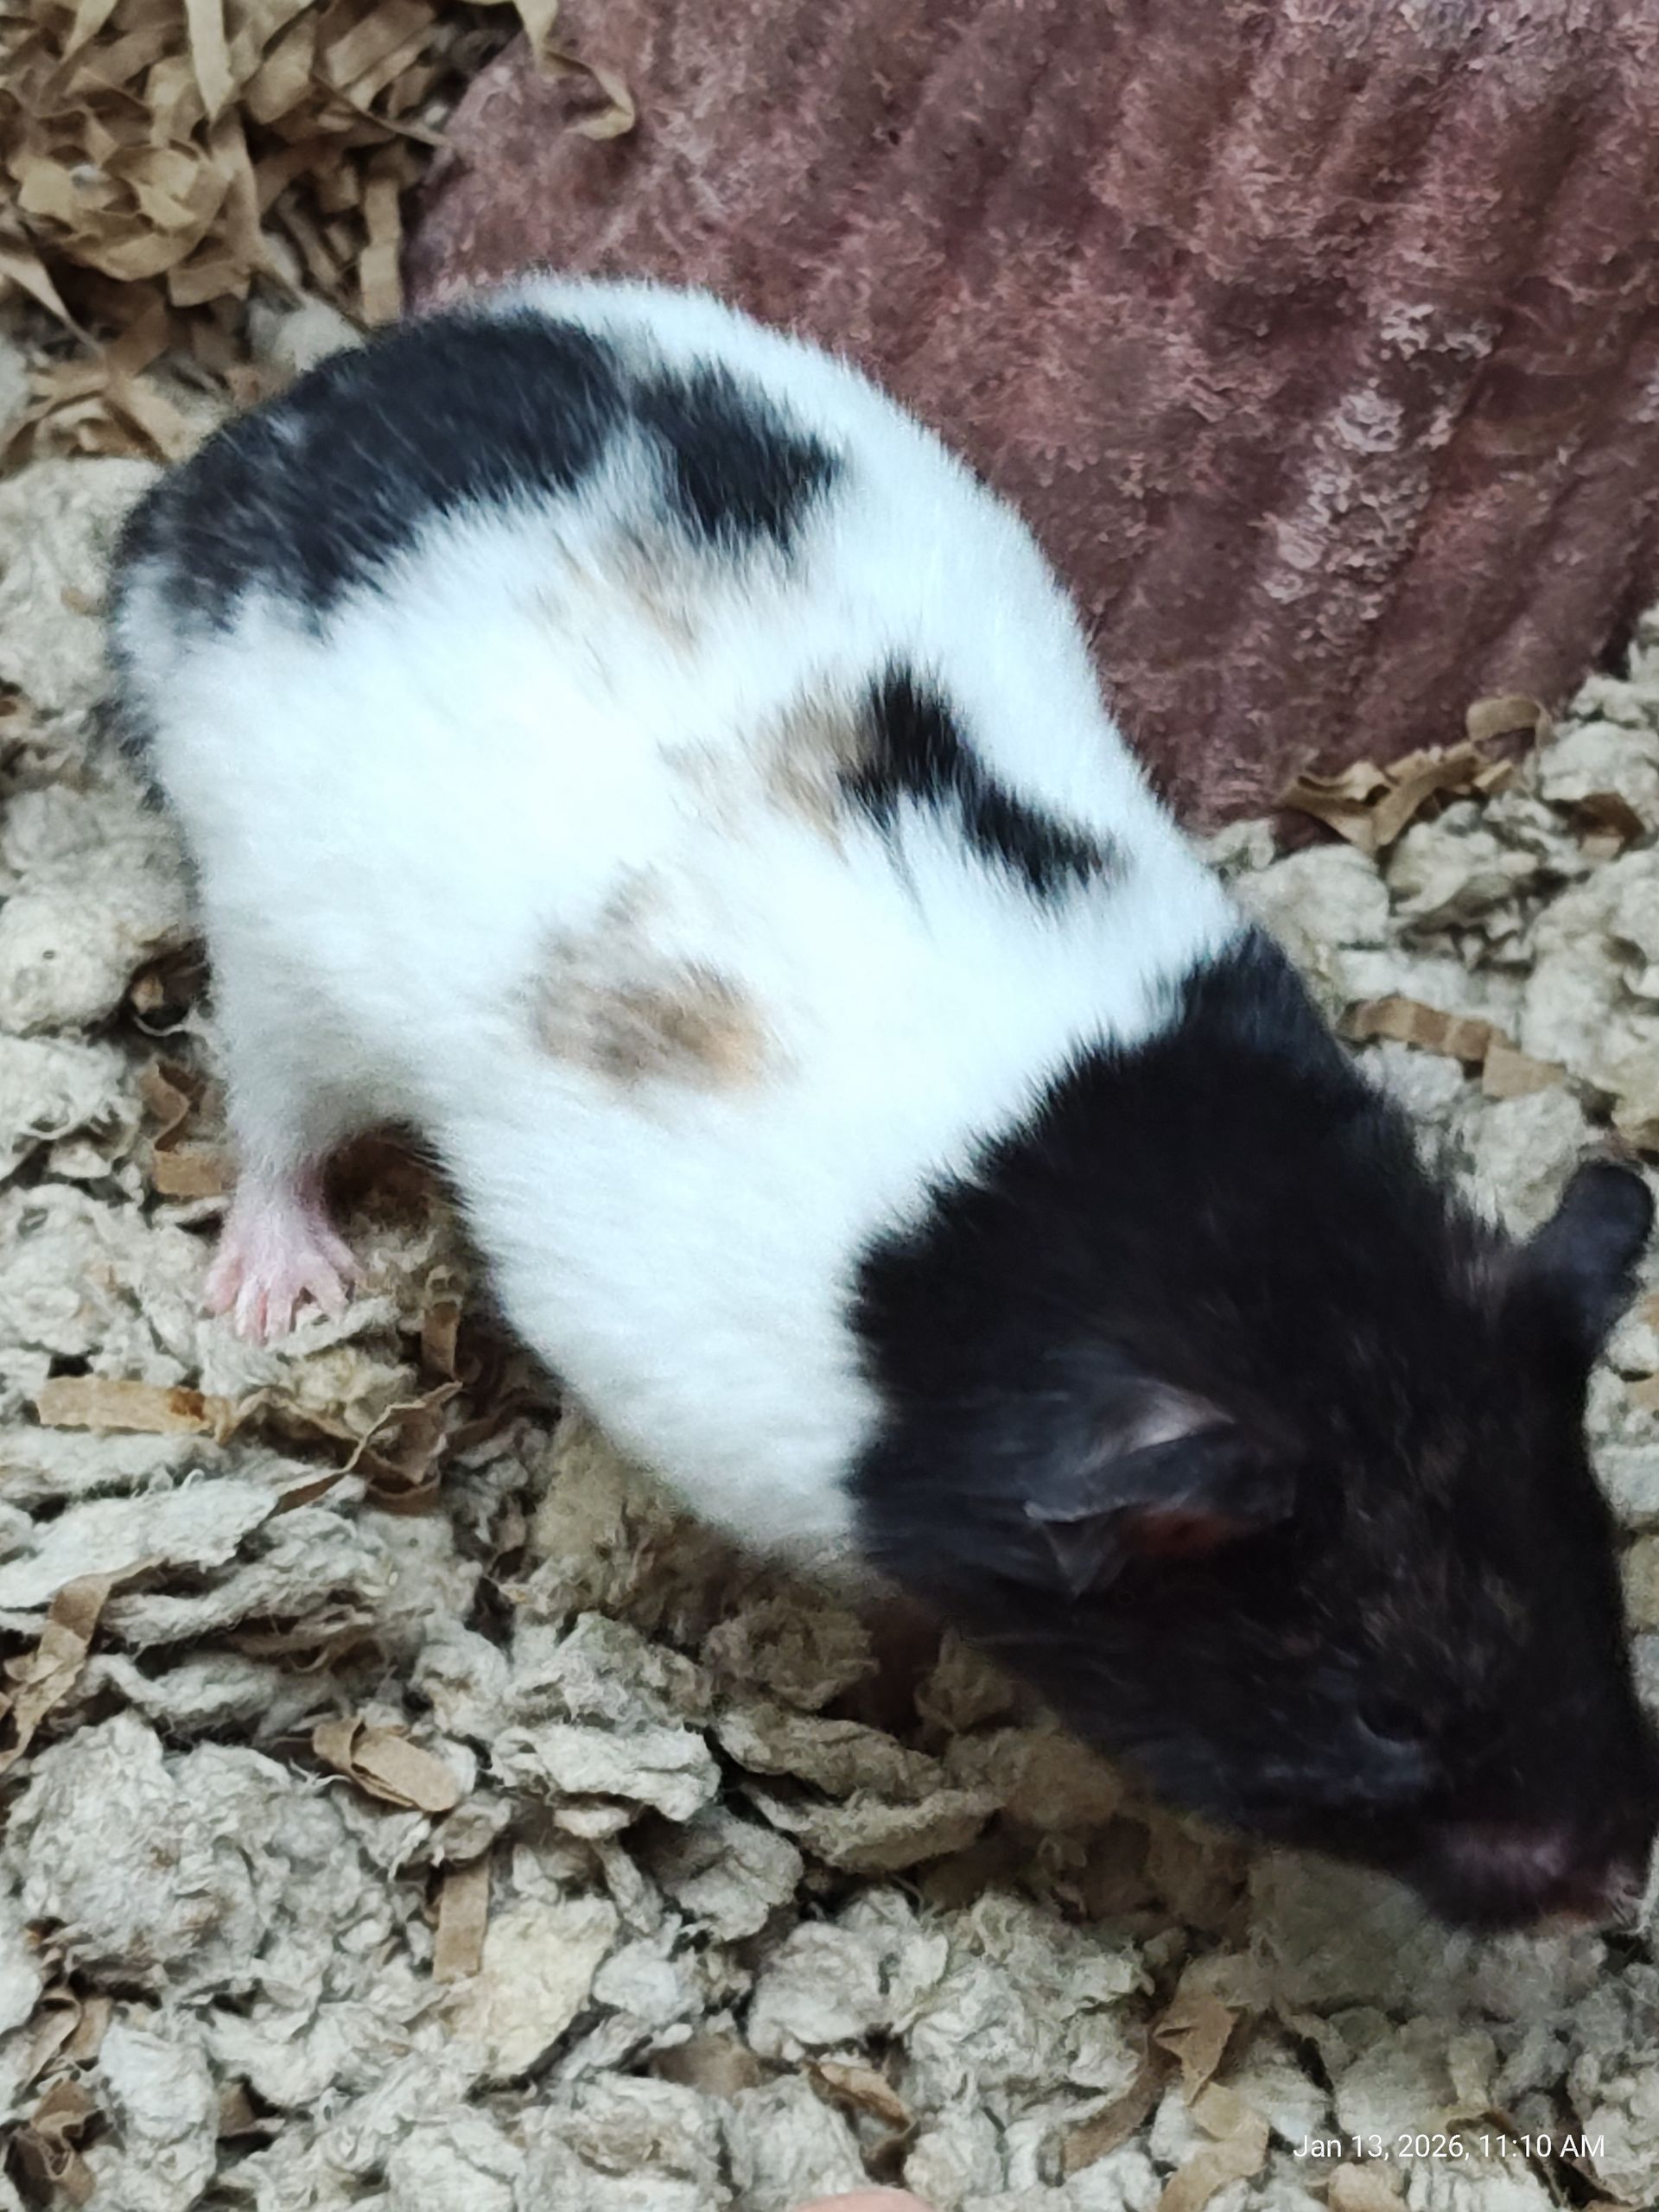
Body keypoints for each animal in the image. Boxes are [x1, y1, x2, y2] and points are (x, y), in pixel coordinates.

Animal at [108, 275, 1659, 1931]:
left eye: (1599, 1581)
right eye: (1385, 1716)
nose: (1615, 1889)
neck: (1170, 1245)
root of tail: (244, 457)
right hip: (280, 952)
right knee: (274, 1125)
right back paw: (276, 1294)